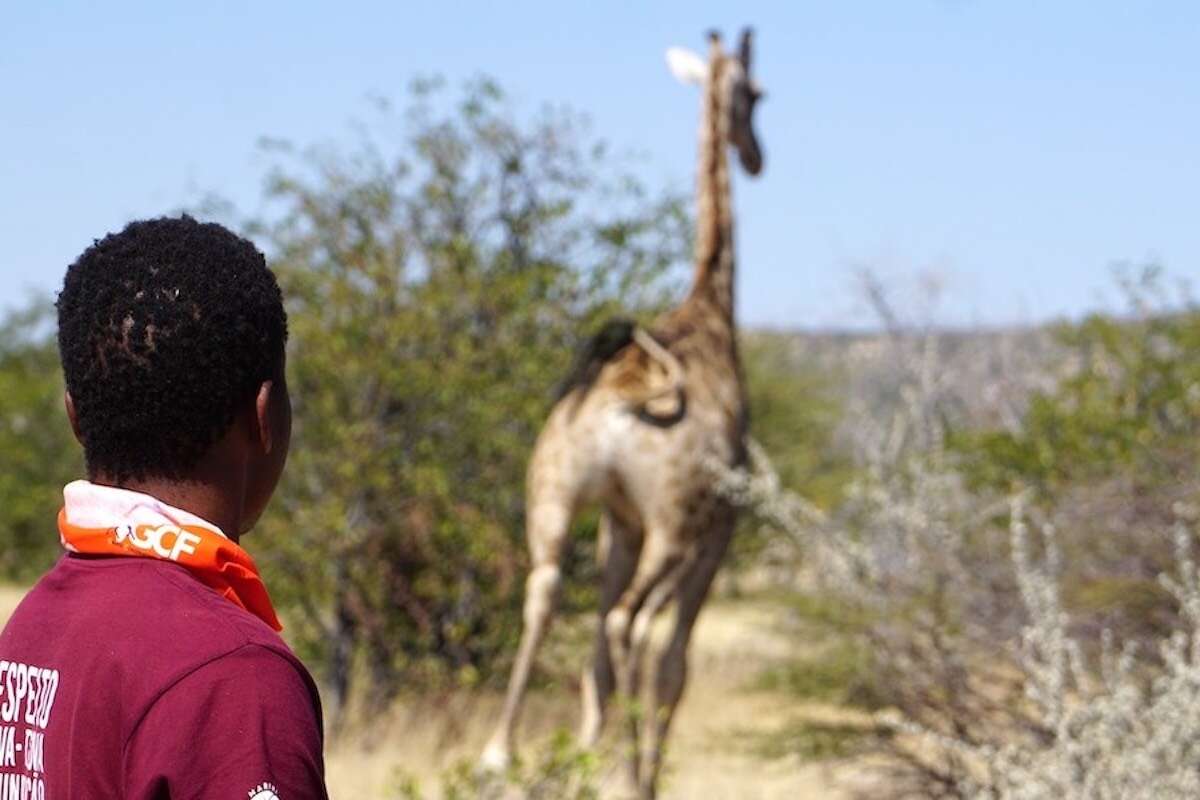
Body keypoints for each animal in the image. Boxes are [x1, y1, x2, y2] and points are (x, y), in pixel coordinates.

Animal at [481, 28, 765, 799]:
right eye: (757, 96)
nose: (757, 155)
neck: (712, 309)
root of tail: (615, 407)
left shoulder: (617, 520)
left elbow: (598, 669)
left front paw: (588, 753)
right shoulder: (715, 532)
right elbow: (670, 665)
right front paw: (632, 769)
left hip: (555, 494)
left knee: (548, 592)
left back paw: (502, 753)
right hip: (672, 526)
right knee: (627, 626)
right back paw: (622, 772)